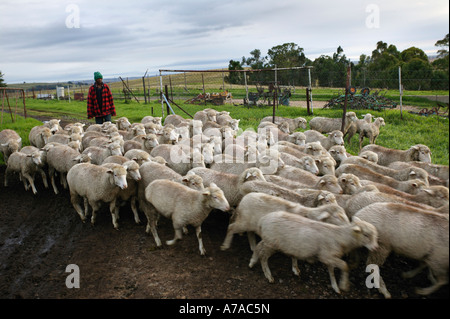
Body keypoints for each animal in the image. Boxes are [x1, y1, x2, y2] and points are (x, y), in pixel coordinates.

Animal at [220, 192, 350, 252]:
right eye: (338, 217)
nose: (348, 226)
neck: (309, 214)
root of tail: (244, 198)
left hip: (250, 223)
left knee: (249, 233)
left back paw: (253, 247)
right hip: (244, 222)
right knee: (231, 228)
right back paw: (225, 245)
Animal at [248, 212, 378, 296]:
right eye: (366, 235)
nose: (375, 247)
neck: (341, 237)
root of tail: (263, 219)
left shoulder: (330, 257)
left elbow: (331, 271)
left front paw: (335, 286)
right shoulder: (326, 256)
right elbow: (345, 266)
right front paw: (344, 285)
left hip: (269, 240)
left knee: (259, 246)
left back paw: (252, 261)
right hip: (272, 243)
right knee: (263, 256)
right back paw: (268, 275)